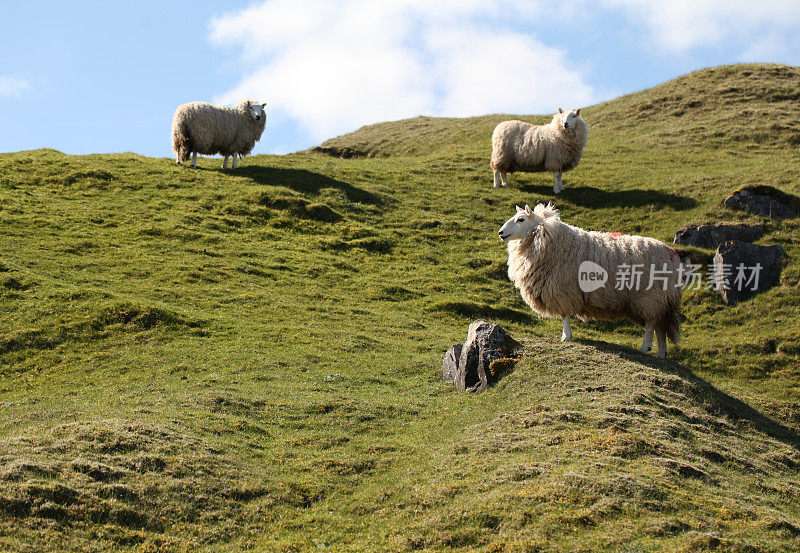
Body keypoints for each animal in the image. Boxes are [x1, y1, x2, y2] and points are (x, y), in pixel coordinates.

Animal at [500, 204, 680, 358]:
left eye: (521, 219)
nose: (500, 233)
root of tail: (670, 253)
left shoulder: (563, 289)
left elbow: (565, 315)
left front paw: (566, 336)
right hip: (661, 300)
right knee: (660, 327)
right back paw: (661, 353)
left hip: (649, 297)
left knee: (651, 324)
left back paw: (645, 347)